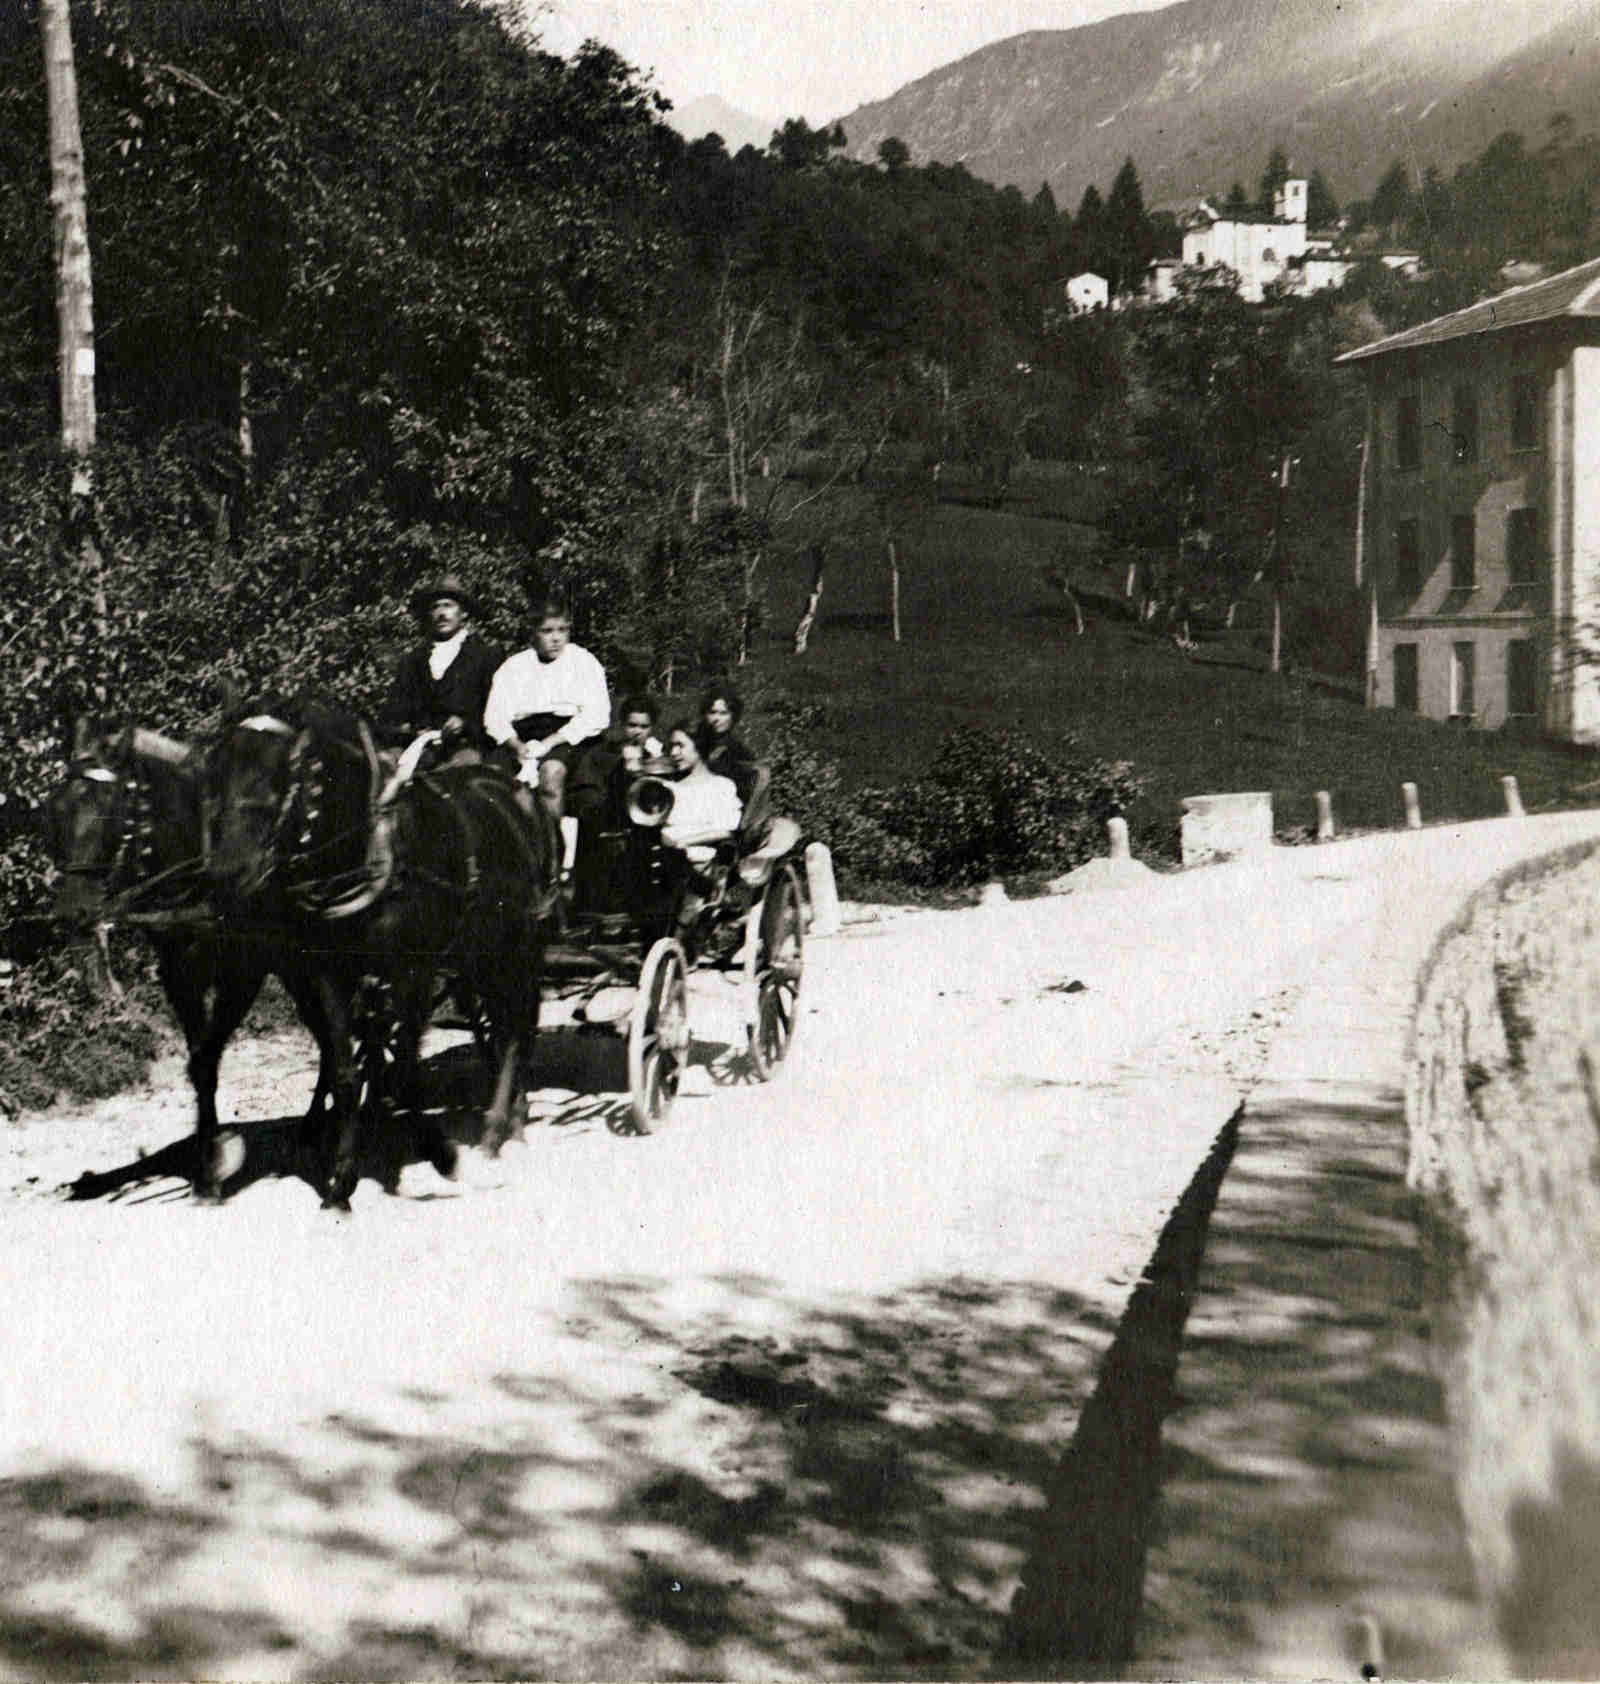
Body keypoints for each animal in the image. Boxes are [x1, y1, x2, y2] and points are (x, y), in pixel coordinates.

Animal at [47, 717, 335, 1205]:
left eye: (111, 810)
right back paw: (317, 1124)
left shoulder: (243, 975)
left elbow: (206, 1060)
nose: (73, 912)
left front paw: (213, 1167)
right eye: (56, 810)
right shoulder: (180, 977)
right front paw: (207, 1161)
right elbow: (198, 1064)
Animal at [203, 700, 555, 1212]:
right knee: (502, 1025)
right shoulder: (330, 975)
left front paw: (443, 1155)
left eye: (280, 776)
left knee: (515, 1031)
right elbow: (346, 1072)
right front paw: (340, 1183)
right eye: (218, 771)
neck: (372, 852)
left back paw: (496, 1131)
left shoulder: (412, 973)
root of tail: (516, 793)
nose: (229, 873)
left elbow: (405, 1071)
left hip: (518, 947)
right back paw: (512, 1117)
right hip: (478, 956)